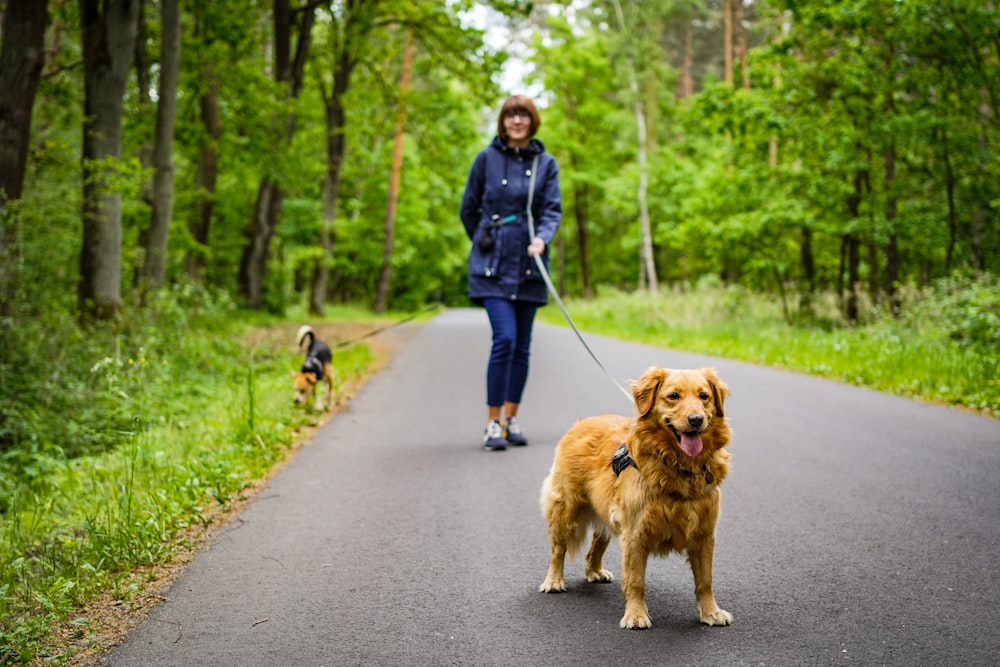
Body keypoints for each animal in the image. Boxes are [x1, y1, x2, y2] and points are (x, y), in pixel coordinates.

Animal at [544, 368, 732, 628]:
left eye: (704, 396)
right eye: (673, 396)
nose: (696, 420)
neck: (677, 467)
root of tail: (583, 422)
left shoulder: (704, 534)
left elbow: (705, 580)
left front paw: (711, 612)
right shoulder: (635, 533)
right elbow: (635, 580)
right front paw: (636, 615)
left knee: (596, 545)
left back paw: (595, 570)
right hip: (566, 509)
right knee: (557, 549)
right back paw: (553, 580)